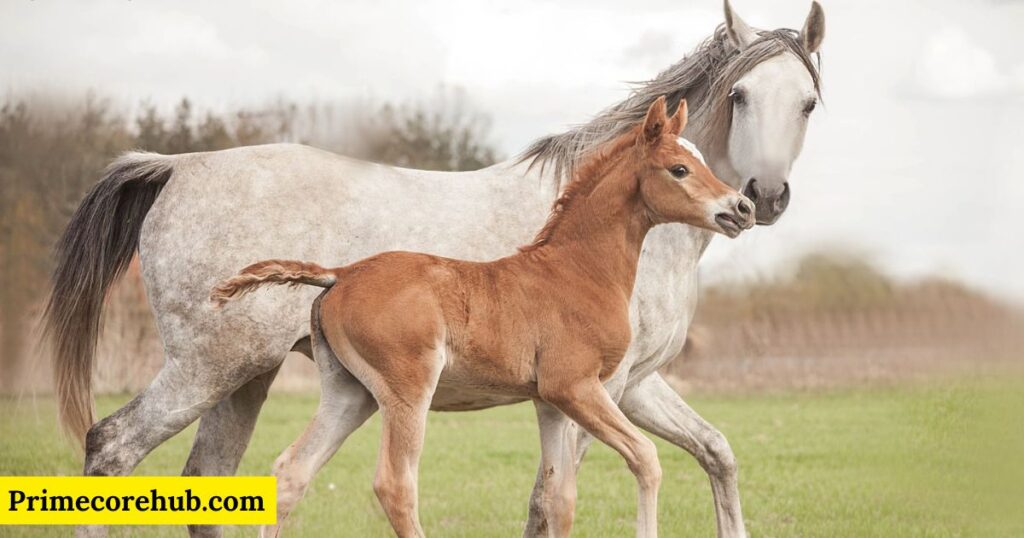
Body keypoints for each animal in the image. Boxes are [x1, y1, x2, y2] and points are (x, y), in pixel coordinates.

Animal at [211, 97, 753, 536]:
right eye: (679, 169)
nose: (742, 207)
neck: (577, 269)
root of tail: (341, 274)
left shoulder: (551, 402)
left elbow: (558, 497)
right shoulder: (575, 386)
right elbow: (645, 459)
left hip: (350, 393)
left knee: (291, 472)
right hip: (408, 391)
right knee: (395, 485)